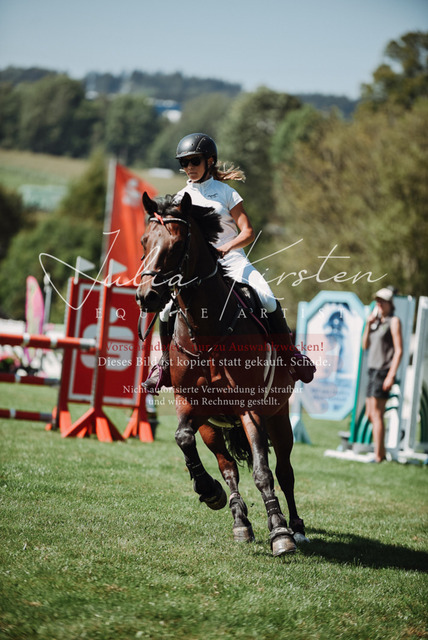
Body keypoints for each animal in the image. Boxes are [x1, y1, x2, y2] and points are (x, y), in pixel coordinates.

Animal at [136, 191, 308, 556]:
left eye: (177, 244)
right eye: (144, 241)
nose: (147, 296)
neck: (207, 331)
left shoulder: (250, 409)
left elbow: (263, 471)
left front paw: (280, 532)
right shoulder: (191, 405)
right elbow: (182, 438)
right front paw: (208, 491)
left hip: (279, 416)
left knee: (285, 471)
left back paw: (297, 528)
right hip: (213, 428)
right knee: (228, 467)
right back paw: (240, 521)